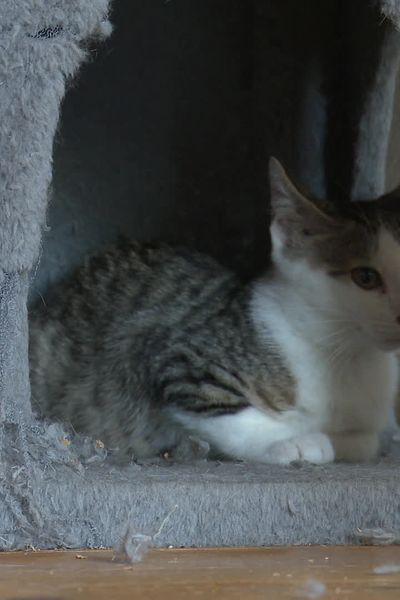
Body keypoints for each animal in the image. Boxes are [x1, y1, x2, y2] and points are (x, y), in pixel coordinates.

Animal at [29, 158, 400, 464]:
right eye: (366, 277)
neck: (346, 356)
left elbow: (366, 441)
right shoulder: (173, 356)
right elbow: (238, 422)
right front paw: (294, 442)